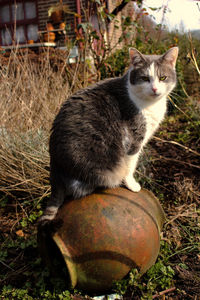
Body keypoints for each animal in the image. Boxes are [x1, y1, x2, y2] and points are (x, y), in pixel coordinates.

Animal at [39, 47, 178, 224]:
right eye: (145, 78)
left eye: (163, 77)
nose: (154, 89)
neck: (149, 104)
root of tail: (54, 164)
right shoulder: (133, 140)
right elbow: (130, 166)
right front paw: (132, 185)